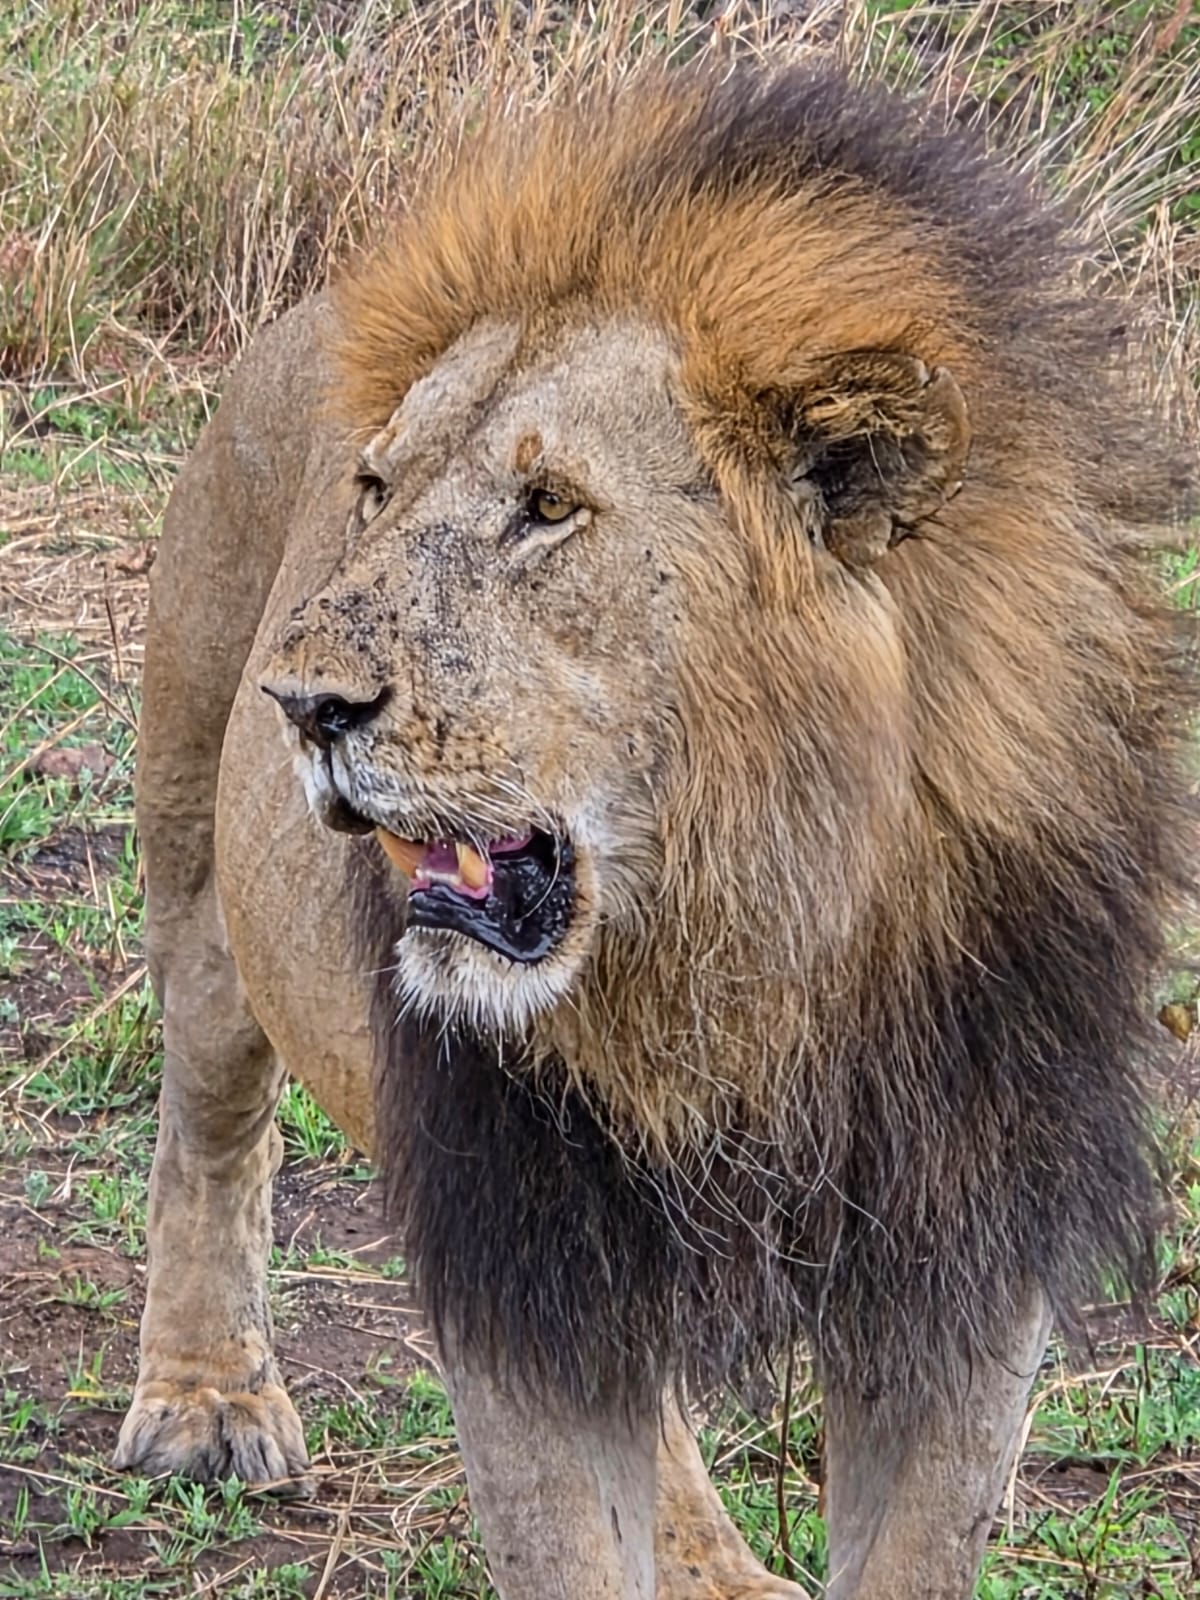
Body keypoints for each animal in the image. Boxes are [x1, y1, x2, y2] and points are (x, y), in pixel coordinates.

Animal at [116, 61, 1195, 1600]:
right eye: (374, 494)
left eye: (548, 508)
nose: (302, 701)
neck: (748, 946)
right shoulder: (527, 1251)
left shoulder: (967, 1263)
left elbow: (917, 1544)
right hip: (198, 886)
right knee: (210, 1127)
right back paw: (203, 1396)